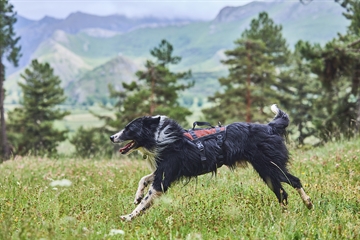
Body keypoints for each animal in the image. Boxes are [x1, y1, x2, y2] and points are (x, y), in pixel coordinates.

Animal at [109, 104, 312, 220]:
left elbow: (146, 201)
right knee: (282, 193)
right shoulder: (165, 170)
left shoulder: (164, 178)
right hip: (267, 172)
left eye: (128, 129)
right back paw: (283, 216)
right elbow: (143, 179)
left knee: (295, 181)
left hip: (271, 167)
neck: (160, 138)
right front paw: (137, 196)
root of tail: (270, 127)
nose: (111, 137)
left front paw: (129, 216)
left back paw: (308, 203)